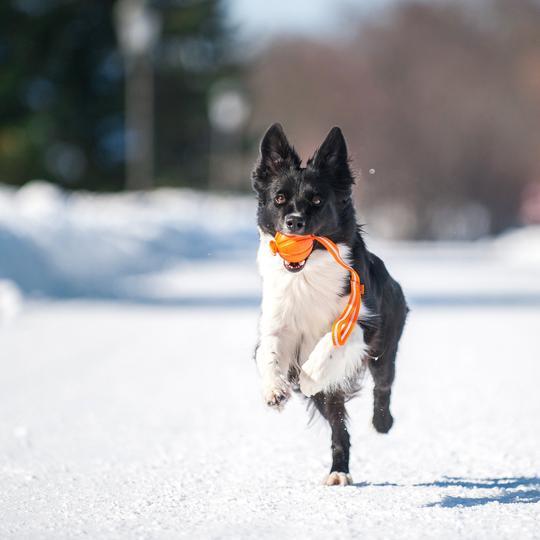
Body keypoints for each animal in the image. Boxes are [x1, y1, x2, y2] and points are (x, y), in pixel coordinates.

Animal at [251, 124, 408, 488]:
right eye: (279, 198)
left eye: (317, 200)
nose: (294, 222)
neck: (307, 274)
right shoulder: (276, 324)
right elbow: (269, 354)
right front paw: (274, 390)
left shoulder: (363, 321)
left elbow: (329, 346)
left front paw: (310, 376)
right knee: (339, 427)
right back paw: (339, 470)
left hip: (385, 344)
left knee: (383, 384)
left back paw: (381, 423)